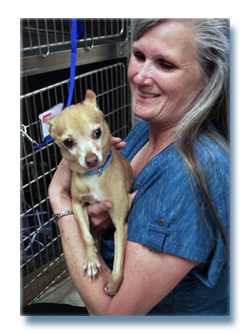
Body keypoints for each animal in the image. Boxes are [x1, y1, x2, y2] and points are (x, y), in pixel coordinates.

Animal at [45, 89, 135, 294]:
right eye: (68, 142)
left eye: (97, 132)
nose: (91, 159)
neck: (95, 175)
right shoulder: (77, 205)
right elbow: (86, 235)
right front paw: (92, 259)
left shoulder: (120, 224)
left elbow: (119, 260)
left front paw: (113, 286)